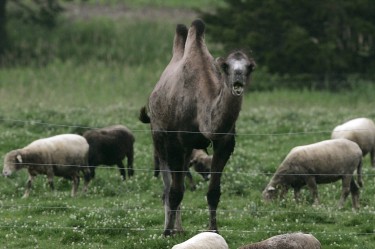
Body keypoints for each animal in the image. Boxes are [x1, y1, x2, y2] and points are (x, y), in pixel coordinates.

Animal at [140, 19, 258, 235]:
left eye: (249, 67)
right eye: (226, 66)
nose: (238, 79)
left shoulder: (224, 143)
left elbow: (213, 192)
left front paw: (214, 230)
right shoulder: (175, 142)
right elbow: (174, 191)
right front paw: (166, 232)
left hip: (187, 149)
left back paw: (180, 228)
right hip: (158, 136)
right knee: (167, 186)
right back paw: (170, 227)